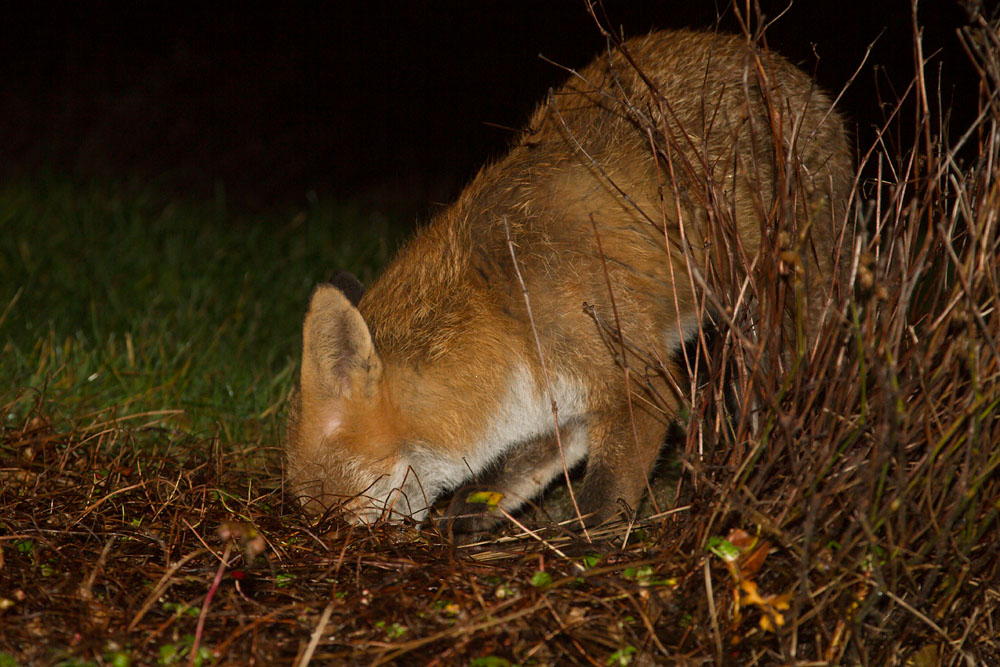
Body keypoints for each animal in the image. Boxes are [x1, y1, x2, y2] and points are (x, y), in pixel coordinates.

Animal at [285, 29, 853, 533]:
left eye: (328, 505)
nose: (324, 537)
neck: (499, 300)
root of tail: (783, 69)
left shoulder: (633, 377)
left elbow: (604, 498)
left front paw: (586, 552)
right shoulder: (552, 393)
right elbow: (527, 462)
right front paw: (474, 510)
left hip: (787, 301)